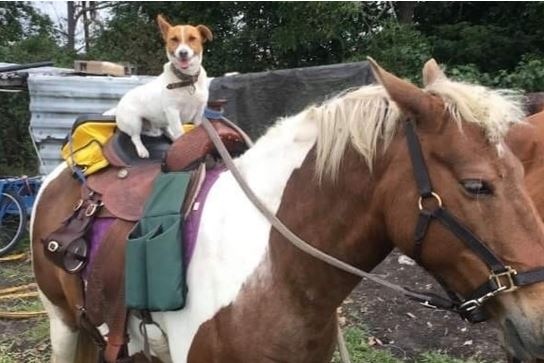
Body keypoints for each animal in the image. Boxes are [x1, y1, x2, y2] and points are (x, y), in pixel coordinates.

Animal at [115, 14, 212, 159]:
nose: (183, 53)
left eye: (192, 38)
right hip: (134, 122)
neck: (186, 79)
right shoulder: (173, 112)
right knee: (135, 137)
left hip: (161, 121)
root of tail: (120, 103)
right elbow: (180, 132)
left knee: (164, 131)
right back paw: (142, 150)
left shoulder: (199, 113)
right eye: (174, 39)